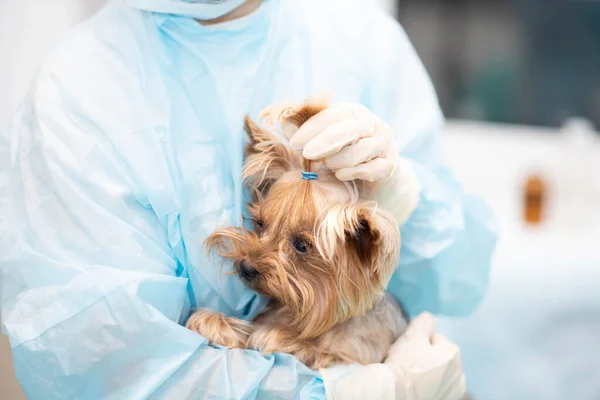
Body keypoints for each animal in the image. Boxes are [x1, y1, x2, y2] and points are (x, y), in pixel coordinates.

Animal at [186, 99, 408, 368]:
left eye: (302, 245)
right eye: (260, 224)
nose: (246, 267)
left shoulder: (347, 356)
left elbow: (296, 346)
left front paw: (267, 335)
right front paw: (216, 323)